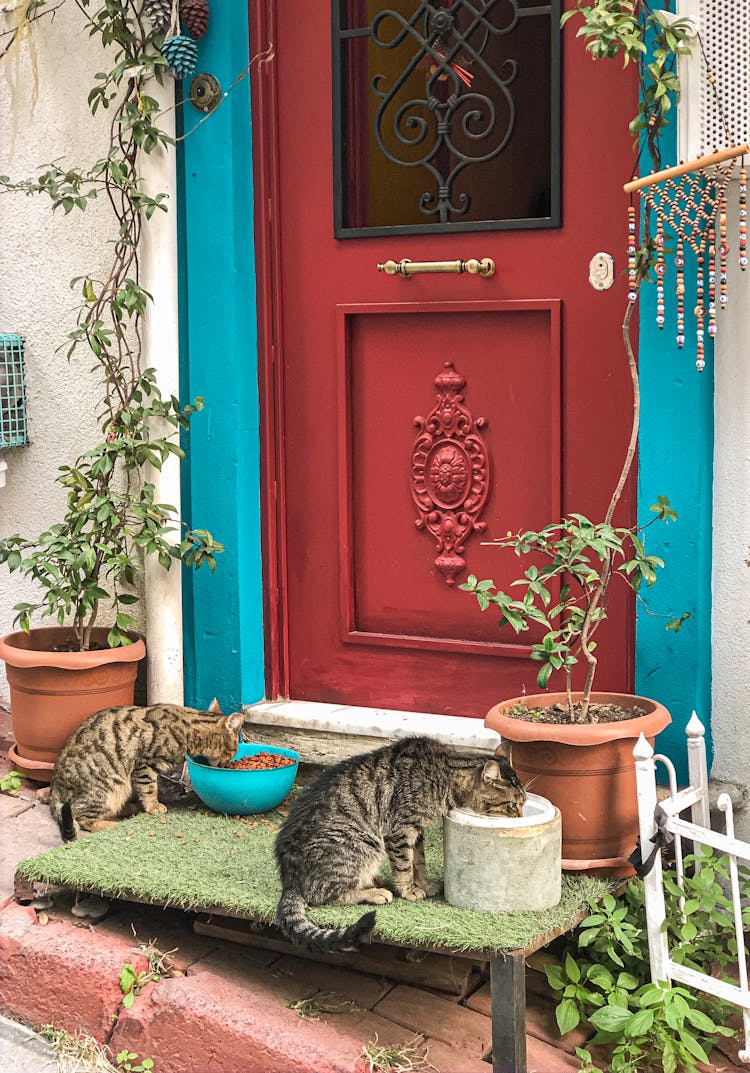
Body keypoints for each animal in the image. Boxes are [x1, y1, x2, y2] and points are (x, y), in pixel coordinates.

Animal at [49, 699, 243, 841]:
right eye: (234, 750)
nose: (228, 763)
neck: (189, 728)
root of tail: (55, 788)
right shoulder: (145, 764)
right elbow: (149, 788)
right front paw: (153, 806)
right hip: (109, 788)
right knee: (80, 816)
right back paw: (109, 825)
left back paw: (131, 807)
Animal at [272, 733, 525, 952]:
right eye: (513, 805)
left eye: (523, 803)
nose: (521, 816)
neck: (444, 773)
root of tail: (289, 880)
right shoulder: (401, 829)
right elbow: (404, 865)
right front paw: (408, 889)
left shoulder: (417, 829)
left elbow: (418, 861)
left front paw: (422, 883)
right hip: (364, 844)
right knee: (322, 896)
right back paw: (375, 893)